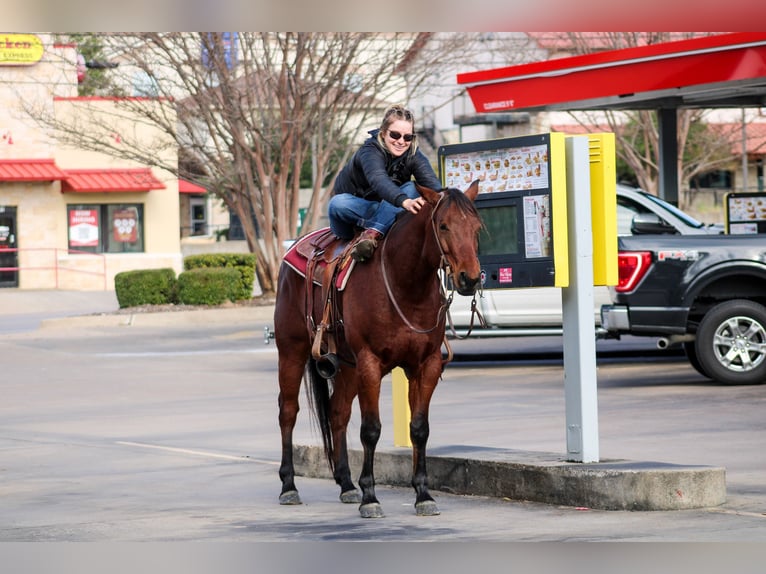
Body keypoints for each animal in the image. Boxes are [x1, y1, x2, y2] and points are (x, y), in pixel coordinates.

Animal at [274, 182, 480, 520]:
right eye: (443, 225)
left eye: (477, 227)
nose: (470, 278)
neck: (405, 284)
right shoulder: (370, 363)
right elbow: (370, 429)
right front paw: (370, 497)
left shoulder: (426, 365)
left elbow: (419, 429)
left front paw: (423, 494)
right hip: (292, 350)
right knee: (288, 412)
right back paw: (289, 486)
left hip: (346, 366)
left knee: (337, 412)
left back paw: (346, 484)